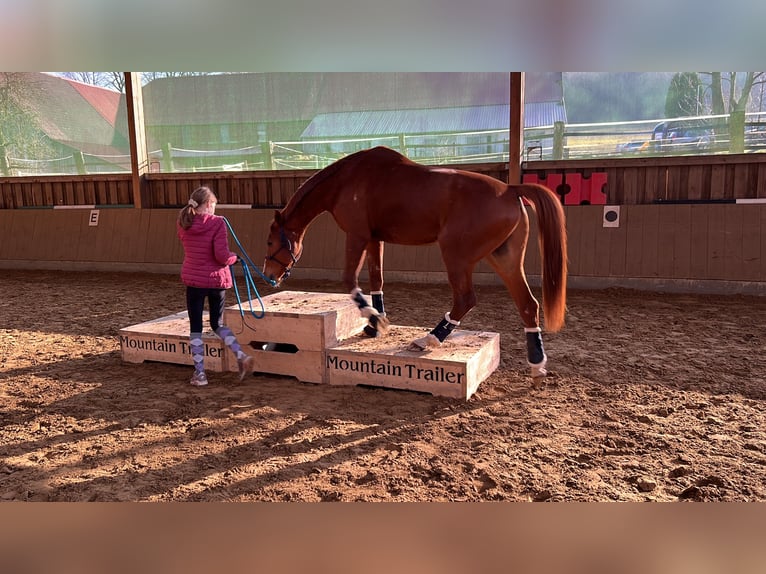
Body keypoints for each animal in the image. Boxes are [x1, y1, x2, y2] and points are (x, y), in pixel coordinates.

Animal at [264, 148, 568, 382]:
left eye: (269, 242)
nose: (269, 276)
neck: (347, 180)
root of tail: (509, 190)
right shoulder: (374, 239)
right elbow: (376, 280)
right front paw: (375, 323)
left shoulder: (357, 235)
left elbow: (350, 279)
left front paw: (373, 317)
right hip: (503, 258)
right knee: (528, 304)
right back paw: (537, 365)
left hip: (456, 255)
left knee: (465, 298)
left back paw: (429, 339)